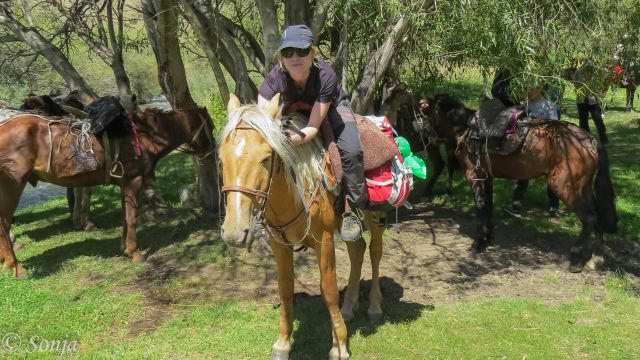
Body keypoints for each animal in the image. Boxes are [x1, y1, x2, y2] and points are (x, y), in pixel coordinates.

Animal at [0, 100, 215, 278]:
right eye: (211, 126)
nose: (211, 152)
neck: (145, 136)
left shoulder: (124, 183)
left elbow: (125, 217)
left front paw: (125, 248)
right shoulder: (134, 181)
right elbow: (132, 217)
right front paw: (135, 253)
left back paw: (8, 263)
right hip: (13, 186)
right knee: (4, 224)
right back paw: (17, 267)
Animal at [220, 95, 384, 360]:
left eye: (266, 158)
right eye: (221, 158)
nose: (234, 233)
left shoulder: (324, 240)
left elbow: (328, 290)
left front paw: (339, 345)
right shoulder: (279, 245)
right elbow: (285, 289)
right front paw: (282, 344)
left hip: (377, 216)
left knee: (375, 252)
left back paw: (375, 307)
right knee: (357, 249)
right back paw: (349, 307)